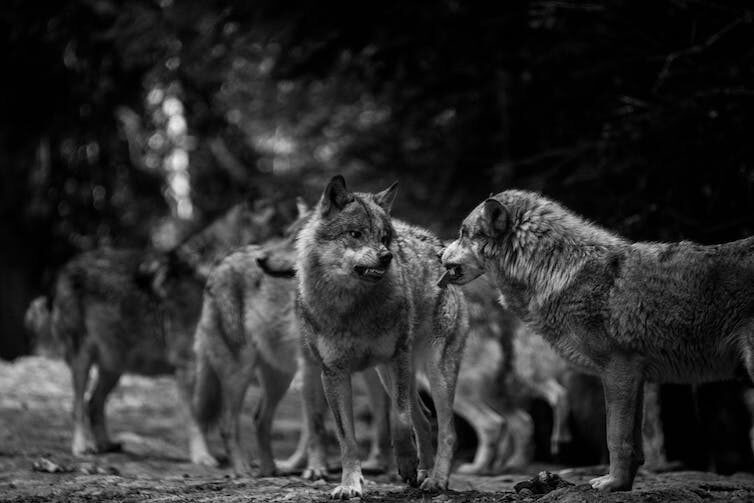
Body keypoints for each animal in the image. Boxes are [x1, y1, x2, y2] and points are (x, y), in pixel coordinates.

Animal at [25, 198, 286, 457]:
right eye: (286, 234)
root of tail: (62, 271)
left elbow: (206, 417)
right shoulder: (189, 365)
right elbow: (196, 418)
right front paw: (202, 457)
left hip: (114, 367)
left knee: (93, 403)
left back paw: (106, 445)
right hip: (83, 360)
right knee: (77, 405)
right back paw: (81, 447)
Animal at [295, 175, 469, 498]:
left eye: (385, 237)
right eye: (356, 234)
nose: (387, 256)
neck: (353, 308)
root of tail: (439, 247)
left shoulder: (395, 358)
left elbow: (398, 422)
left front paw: (406, 464)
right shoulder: (333, 374)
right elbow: (347, 439)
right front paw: (349, 485)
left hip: (431, 372)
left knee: (447, 429)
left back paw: (436, 479)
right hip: (392, 376)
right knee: (423, 417)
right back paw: (424, 473)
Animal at [440, 189, 754, 491]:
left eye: (462, 233)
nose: (439, 251)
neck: (556, 271)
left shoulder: (618, 369)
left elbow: (615, 436)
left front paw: (610, 484)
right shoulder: (637, 377)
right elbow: (633, 442)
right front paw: (622, 485)